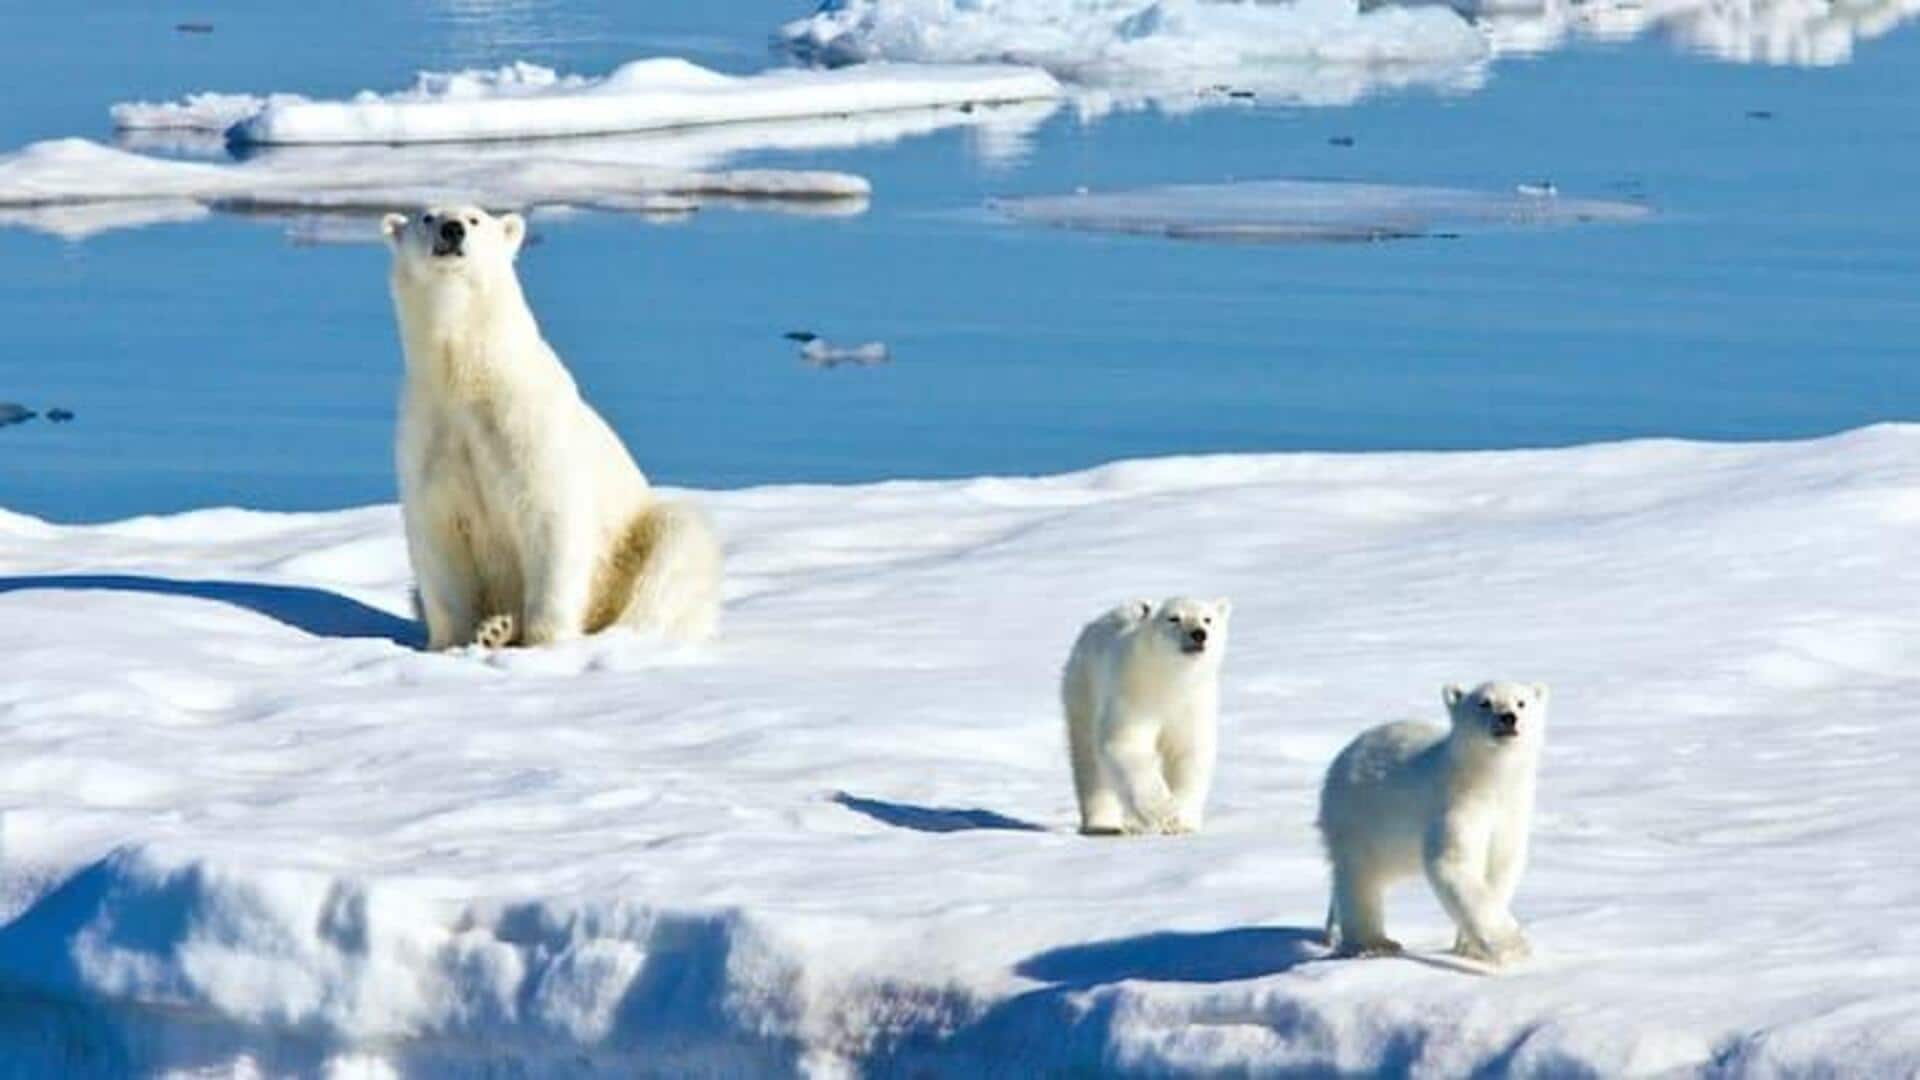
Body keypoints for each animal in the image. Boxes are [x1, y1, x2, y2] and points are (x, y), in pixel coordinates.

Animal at [380, 206, 721, 653]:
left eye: (474, 219)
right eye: (427, 217)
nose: (451, 230)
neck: (468, 376)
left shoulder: (525, 425)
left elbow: (550, 517)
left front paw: (544, 642)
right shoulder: (429, 431)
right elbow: (437, 533)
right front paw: (453, 641)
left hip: (638, 539)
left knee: (674, 545)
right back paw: (498, 628)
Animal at [1067, 595, 1228, 834]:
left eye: (1207, 619)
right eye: (1174, 618)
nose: (1199, 634)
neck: (1169, 680)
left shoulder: (1192, 704)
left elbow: (1189, 753)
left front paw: (1182, 823)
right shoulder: (1133, 694)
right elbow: (1126, 744)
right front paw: (1164, 812)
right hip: (1084, 687)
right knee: (1089, 761)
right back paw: (1102, 825)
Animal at [1320, 676, 1543, 960]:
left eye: (1521, 702)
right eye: (1484, 703)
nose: (1508, 718)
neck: (1488, 781)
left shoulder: (1510, 812)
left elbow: (1499, 866)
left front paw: (1469, 947)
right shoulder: (1456, 806)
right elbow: (1453, 861)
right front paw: (1511, 946)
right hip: (1359, 813)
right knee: (1359, 875)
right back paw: (1373, 943)